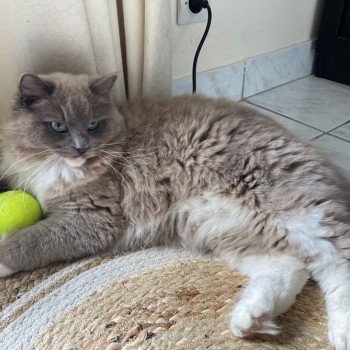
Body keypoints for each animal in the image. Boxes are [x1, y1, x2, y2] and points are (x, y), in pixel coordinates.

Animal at [0, 72, 350, 348]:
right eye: (58, 126)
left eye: (93, 125)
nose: (80, 149)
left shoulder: (91, 217)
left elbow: (28, 241)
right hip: (232, 231)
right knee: (290, 267)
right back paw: (251, 319)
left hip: (293, 214)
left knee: (335, 262)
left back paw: (340, 333)